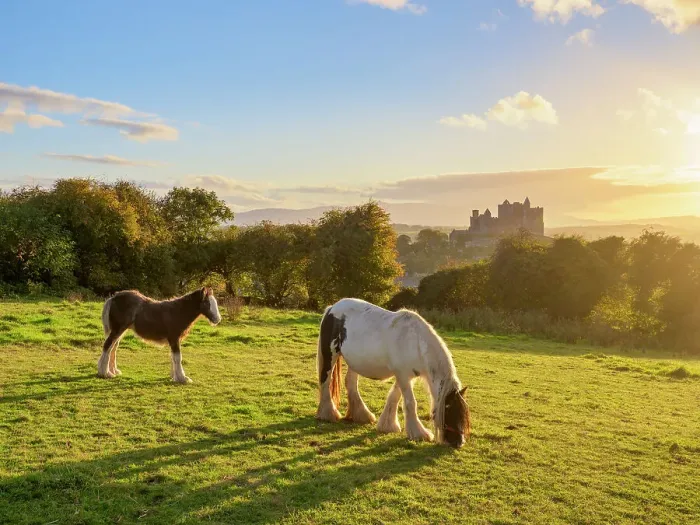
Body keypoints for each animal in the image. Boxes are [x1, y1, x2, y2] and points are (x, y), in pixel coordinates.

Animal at [315, 298, 471, 448]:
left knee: (351, 384)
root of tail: (332, 308)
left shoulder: (406, 376)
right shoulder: (402, 375)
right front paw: (419, 433)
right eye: (450, 411)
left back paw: (362, 415)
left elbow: (394, 397)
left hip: (354, 362)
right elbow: (410, 403)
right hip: (331, 355)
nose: (459, 443)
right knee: (325, 381)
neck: (415, 342)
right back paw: (328, 414)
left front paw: (388, 425)